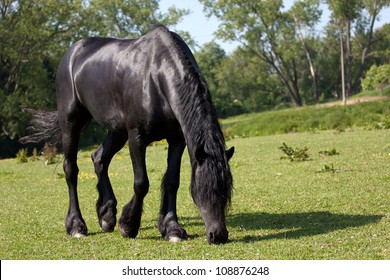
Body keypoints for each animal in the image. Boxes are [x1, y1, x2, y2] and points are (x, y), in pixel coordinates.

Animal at [20, 25, 235, 244]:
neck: (155, 77)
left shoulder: (177, 140)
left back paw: (106, 214)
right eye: (203, 190)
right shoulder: (137, 138)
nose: (218, 235)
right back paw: (76, 226)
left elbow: (172, 181)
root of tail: (72, 53)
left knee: (99, 158)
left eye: (226, 190)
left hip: (117, 131)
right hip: (71, 123)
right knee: (71, 170)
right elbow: (141, 183)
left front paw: (172, 228)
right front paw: (128, 225)